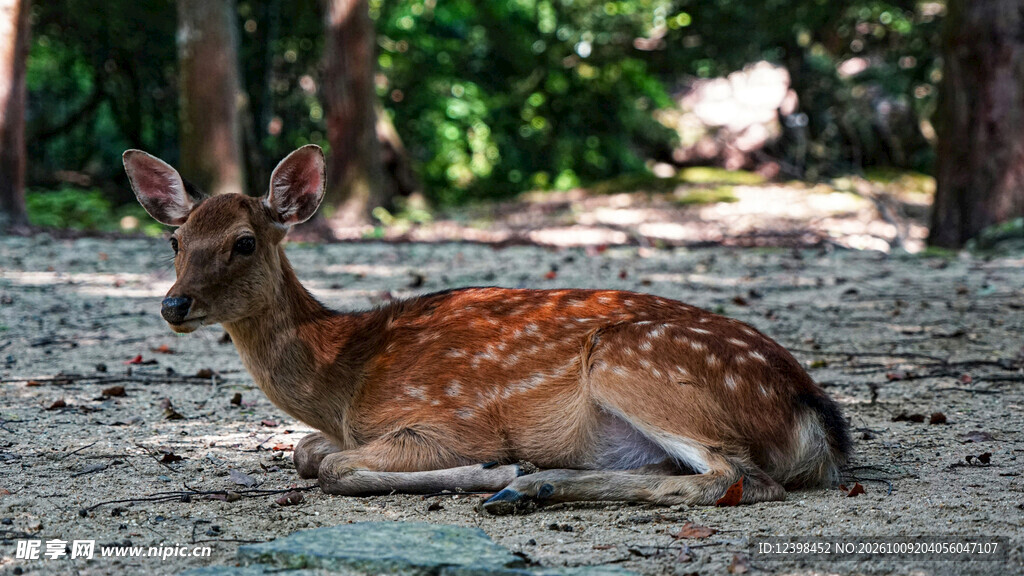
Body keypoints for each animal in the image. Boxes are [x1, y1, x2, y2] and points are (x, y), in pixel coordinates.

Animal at [123, 144, 850, 514]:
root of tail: (813, 412)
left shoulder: (441, 420)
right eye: (174, 240)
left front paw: (492, 466)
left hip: (631, 361)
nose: (174, 306)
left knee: (733, 478)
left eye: (244, 242)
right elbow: (307, 452)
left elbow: (331, 466)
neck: (344, 380)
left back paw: (526, 483)